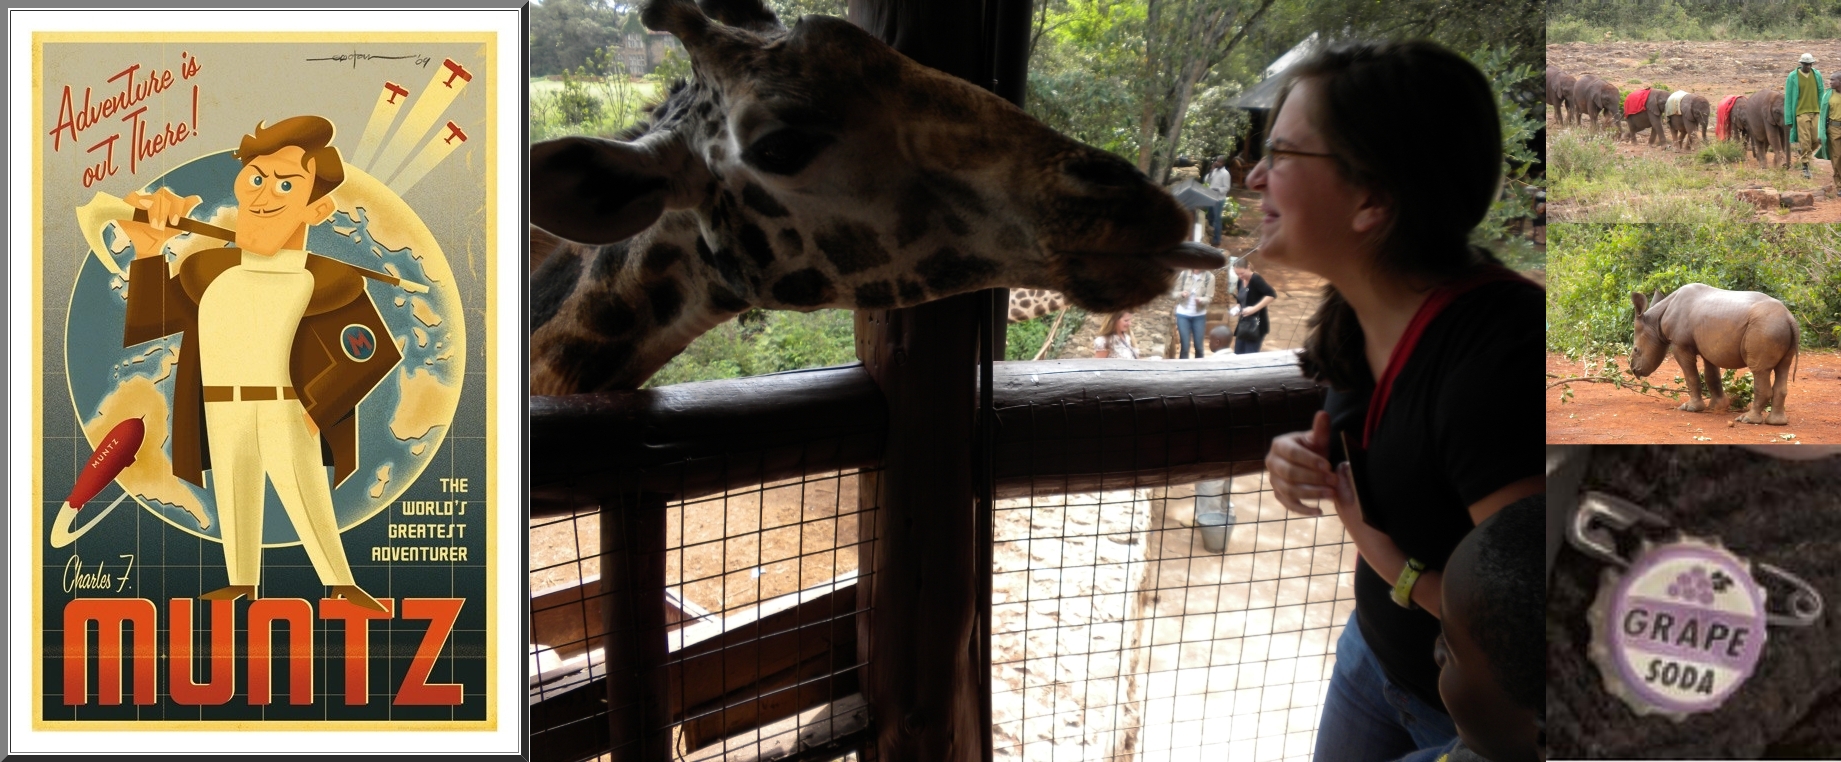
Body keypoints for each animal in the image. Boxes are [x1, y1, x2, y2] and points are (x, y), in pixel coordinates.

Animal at [1627, 283, 1796, 425]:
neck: (1655, 322)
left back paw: (1747, 420)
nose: (1634, 370)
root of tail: (1789, 318)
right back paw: (1776, 423)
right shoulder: (1709, 346)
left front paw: (1691, 408)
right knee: (1783, 368)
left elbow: (1691, 375)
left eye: (1636, 349)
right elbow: (1712, 376)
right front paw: (1716, 407)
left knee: (1759, 371)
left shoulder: (1680, 344)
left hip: (1766, 328)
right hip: (1775, 327)